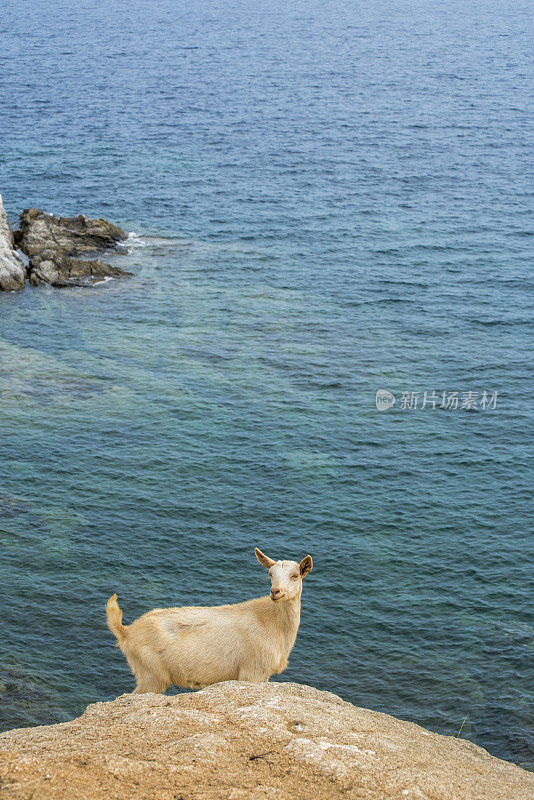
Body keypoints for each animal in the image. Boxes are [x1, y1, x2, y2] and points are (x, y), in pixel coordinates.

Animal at [105, 548, 314, 692]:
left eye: (295, 575)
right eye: (270, 574)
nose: (275, 591)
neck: (270, 620)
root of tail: (127, 631)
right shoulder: (252, 672)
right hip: (151, 674)